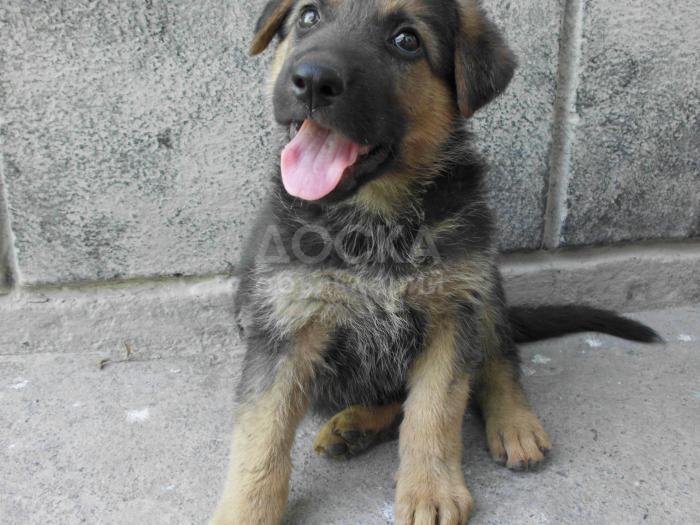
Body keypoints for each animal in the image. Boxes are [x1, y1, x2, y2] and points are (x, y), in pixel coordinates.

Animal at [210, 1, 660, 523]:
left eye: (407, 41)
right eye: (308, 17)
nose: (313, 81)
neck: (376, 220)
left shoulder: (453, 312)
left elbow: (434, 412)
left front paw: (430, 489)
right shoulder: (285, 326)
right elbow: (261, 436)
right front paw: (245, 510)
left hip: (485, 287)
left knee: (499, 359)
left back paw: (514, 421)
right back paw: (355, 424)